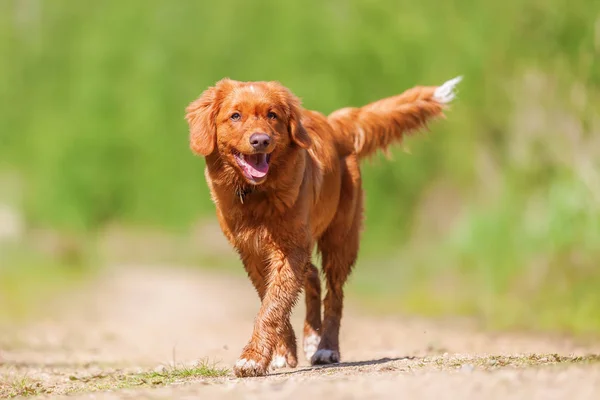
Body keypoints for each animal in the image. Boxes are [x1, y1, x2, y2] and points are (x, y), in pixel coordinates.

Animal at [185, 76, 462, 378]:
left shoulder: (289, 249)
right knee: (313, 275)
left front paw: (253, 358)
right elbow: (271, 300)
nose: (261, 140)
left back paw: (325, 347)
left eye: (272, 115)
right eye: (235, 115)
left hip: (340, 242)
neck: (257, 194)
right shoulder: (252, 251)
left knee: (335, 296)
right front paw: (282, 351)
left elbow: (272, 306)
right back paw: (310, 338)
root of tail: (334, 124)